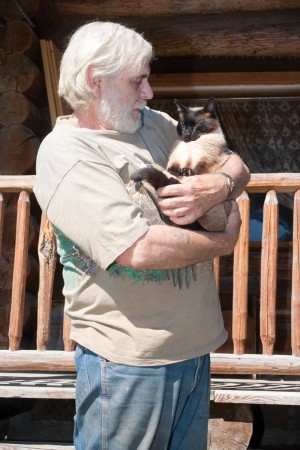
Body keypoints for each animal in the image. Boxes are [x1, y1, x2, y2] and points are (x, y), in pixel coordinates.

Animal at [131, 98, 232, 232]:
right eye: (183, 125)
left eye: (197, 125)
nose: (187, 134)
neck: (192, 144)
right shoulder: (178, 157)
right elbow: (175, 166)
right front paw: (177, 172)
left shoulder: (207, 158)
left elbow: (199, 168)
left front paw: (189, 172)